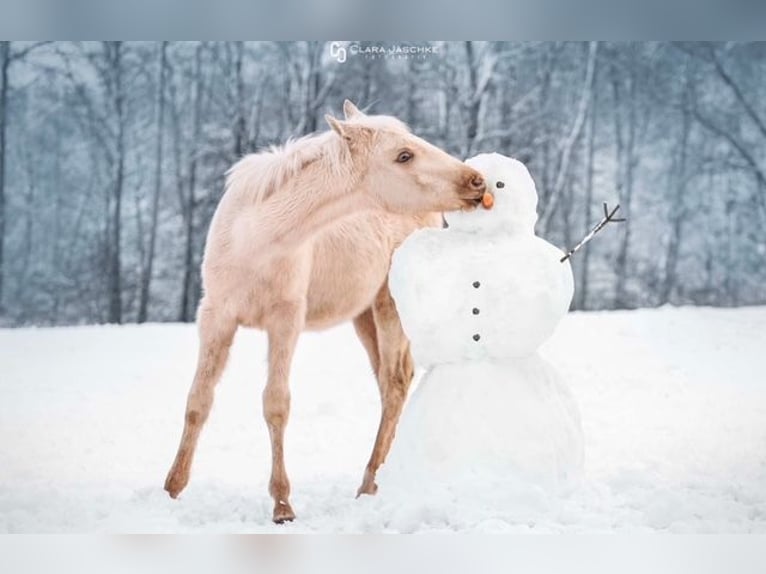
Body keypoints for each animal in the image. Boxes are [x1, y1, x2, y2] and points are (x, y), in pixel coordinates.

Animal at [164, 100, 486, 528]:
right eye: (403, 155)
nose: (477, 181)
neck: (255, 238)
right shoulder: (216, 317)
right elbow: (198, 400)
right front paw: (172, 488)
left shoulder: (285, 321)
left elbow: (276, 404)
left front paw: (282, 505)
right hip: (363, 315)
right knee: (388, 384)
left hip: (388, 306)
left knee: (394, 383)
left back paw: (369, 483)